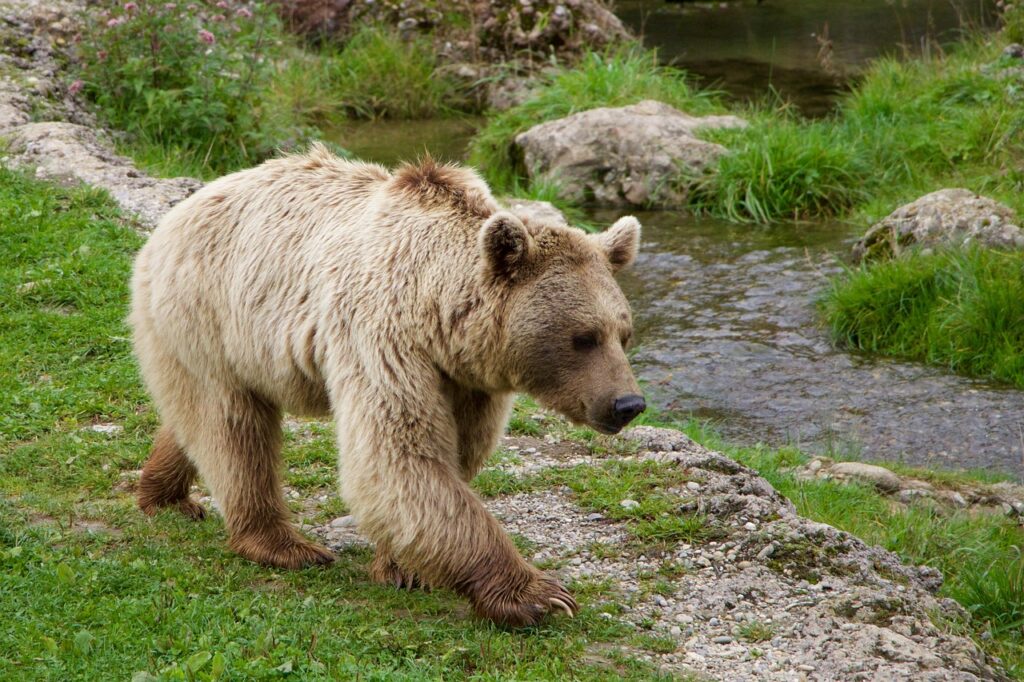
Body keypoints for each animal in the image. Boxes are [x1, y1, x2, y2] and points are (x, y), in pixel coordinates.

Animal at [129, 144, 645, 626]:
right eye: (583, 337)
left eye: (623, 333)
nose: (628, 403)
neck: (439, 313)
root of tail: (177, 213)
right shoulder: (382, 338)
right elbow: (398, 454)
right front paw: (540, 595)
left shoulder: (466, 378)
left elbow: (454, 455)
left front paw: (404, 567)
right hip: (211, 312)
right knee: (233, 428)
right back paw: (283, 544)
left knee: (197, 420)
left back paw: (166, 495)